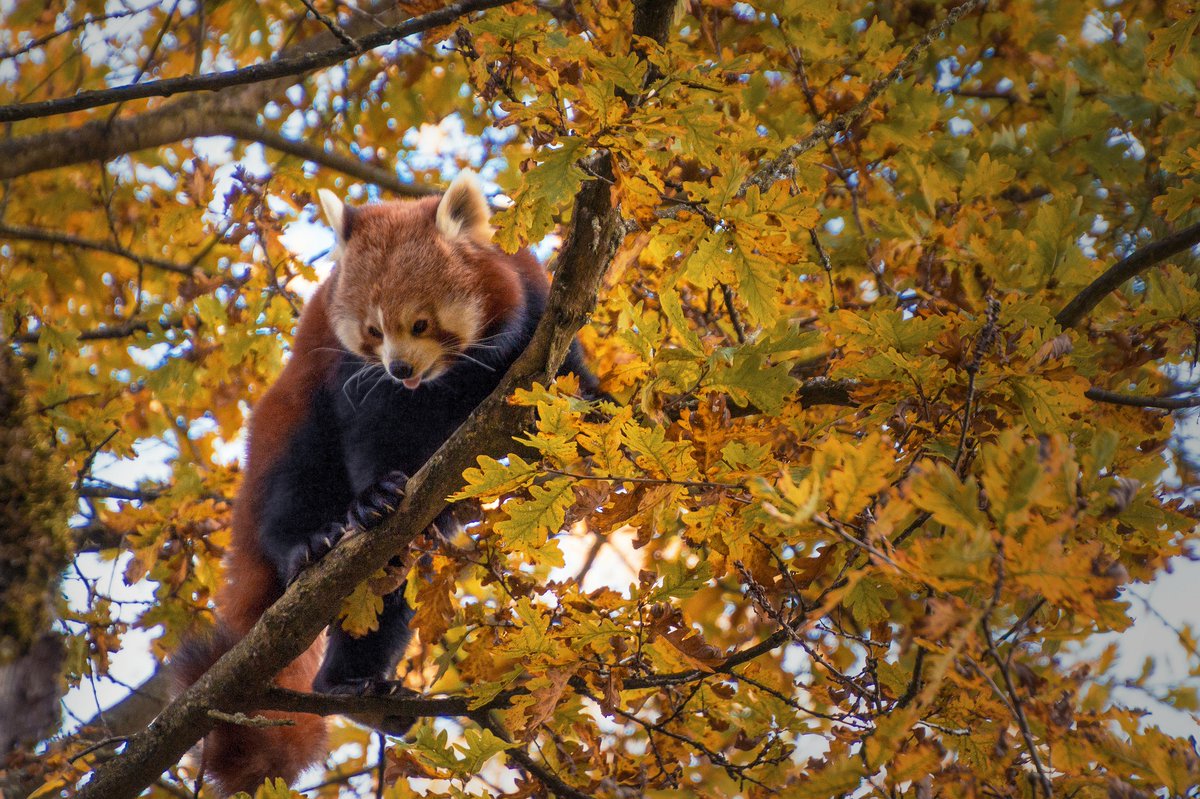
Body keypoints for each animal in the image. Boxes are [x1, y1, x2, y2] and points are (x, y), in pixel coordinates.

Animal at [175, 171, 600, 791]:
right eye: (374, 331)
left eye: (420, 323)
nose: (400, 368)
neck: (447, 383)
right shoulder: (356, 381)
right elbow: (372, 441)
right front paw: (375, 496)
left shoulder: (542, 325)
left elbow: (572, 396)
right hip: (285, 429)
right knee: (293, 494)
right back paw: (311, 548)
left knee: (387, 596)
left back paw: (352, 686)